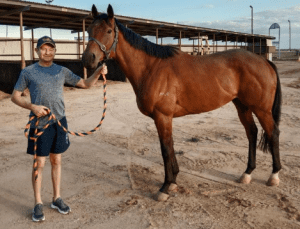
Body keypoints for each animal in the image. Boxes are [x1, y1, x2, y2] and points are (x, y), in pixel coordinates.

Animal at [83, 4, 282, 200]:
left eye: (109, 31)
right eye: (89, 30)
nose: (87, 59)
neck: (151, 68)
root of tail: (264, 61)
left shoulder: (162, 116)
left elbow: (165, 149)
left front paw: (164, 188)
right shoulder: (165, 118)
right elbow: (170, 147)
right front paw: (173, 183)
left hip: (261, 108)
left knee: (272, 133)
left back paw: (274, 176)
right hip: (242, 105)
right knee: (252, 133)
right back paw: (247, 173)